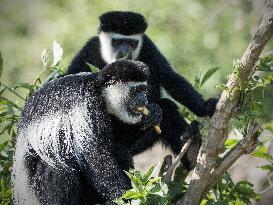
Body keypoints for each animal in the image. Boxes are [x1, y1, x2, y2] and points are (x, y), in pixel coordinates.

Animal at [12, 60, 159, 204]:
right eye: (136, 91)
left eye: (144, 90)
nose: (144, 100)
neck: (99, 90)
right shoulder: (88, 105)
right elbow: (97, 156)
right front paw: (127, 197)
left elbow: (120, 141)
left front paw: (153, 115)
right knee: (58, 165)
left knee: (119, 149)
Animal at [65, 10, 217, 168]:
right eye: (117, 42)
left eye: (132, 43)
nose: (124, 52)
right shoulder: (89, 50)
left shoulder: (148, 47)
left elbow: (169, 76)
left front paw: (205, 107)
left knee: (167, 108)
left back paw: (191, 150)